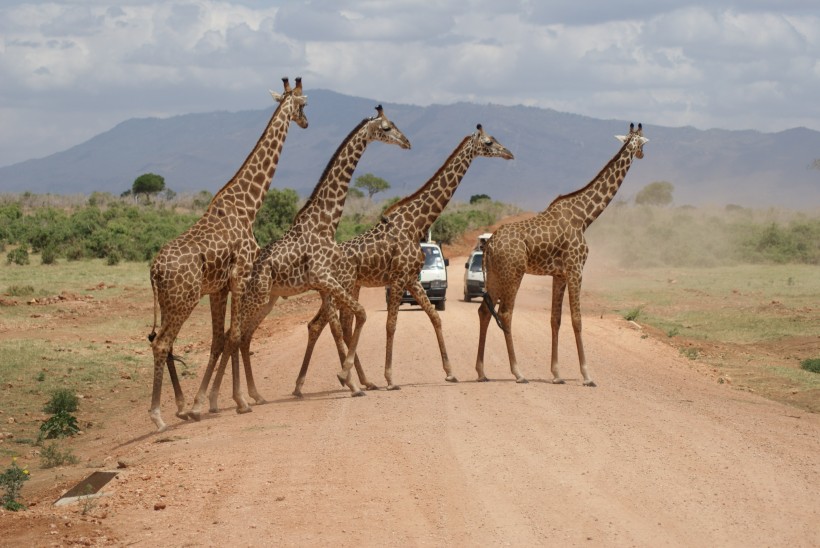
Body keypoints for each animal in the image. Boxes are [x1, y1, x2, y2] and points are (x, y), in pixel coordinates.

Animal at [147, 77, 308, 432]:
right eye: (305, 104)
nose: (306, 122)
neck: (248, 206)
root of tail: (153, 270)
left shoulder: (219, 288)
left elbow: (219, 339)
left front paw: (204, 404)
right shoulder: (241, 276)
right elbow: (234, 335)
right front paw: (240, 401)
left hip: (169, 302)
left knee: (165, 344)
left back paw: (180, 407)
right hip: (183, 300)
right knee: (161, 343)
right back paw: (158, 417)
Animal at [189, 105, 414, 416]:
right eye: (387, 127)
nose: (407, 142)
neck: (325, 222)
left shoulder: (324, 285)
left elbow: (339, 325)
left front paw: (351, 382)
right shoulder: (323, 278)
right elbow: (356, 316)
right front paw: (349, 380)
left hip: (268, 300)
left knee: (241, 336)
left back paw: (244, 397)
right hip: (255, 297)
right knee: (232, 335)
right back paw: (220, 401)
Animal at [294, 125, 512, 394]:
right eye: (489, 142)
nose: (509, 154)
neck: (415, 224)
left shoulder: (412, 279)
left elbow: (435, 316)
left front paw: (450, 373)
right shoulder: (398, 279)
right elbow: (391, 324)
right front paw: (390, 378)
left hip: (350, 287)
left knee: (331, 323)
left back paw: (338, 382)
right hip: (340, 287)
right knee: (326, 324)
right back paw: (339, 380)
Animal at [474, 121, 648, 386]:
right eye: (643, 142)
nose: (642, 154)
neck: (585, 216)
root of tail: (490, 244)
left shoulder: (559, 274)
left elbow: (555, 319)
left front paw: (556, 374)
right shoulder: (576, 269)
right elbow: (577, 319)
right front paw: (587, 375)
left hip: (494, 274)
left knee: (484, 311)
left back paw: (482, 371)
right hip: (513, 273)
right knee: (505, 313)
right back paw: (518, 373)